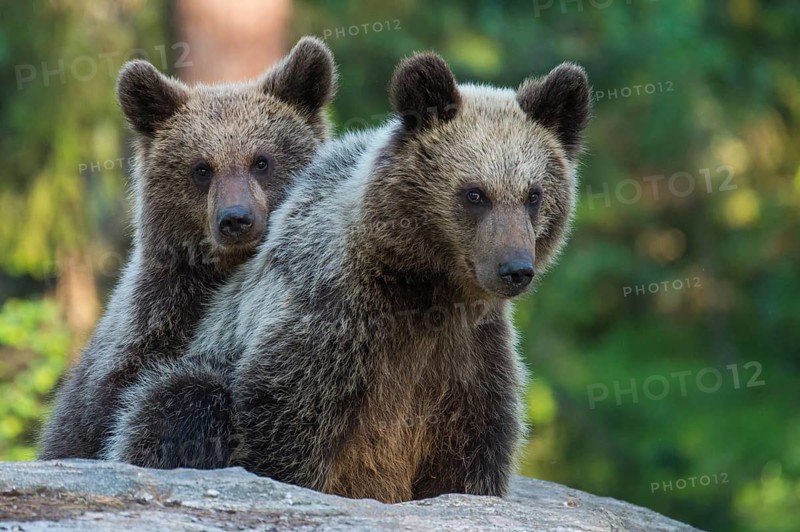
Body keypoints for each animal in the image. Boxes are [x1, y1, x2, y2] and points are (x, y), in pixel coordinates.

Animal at [105, 51, 591, 502]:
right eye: (474, 194)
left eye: (533, 195)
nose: (515, 269)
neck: (424, 287)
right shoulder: (329, 327)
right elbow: (285, 436)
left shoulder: (469, 358)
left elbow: (468, 463)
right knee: (181, 401)